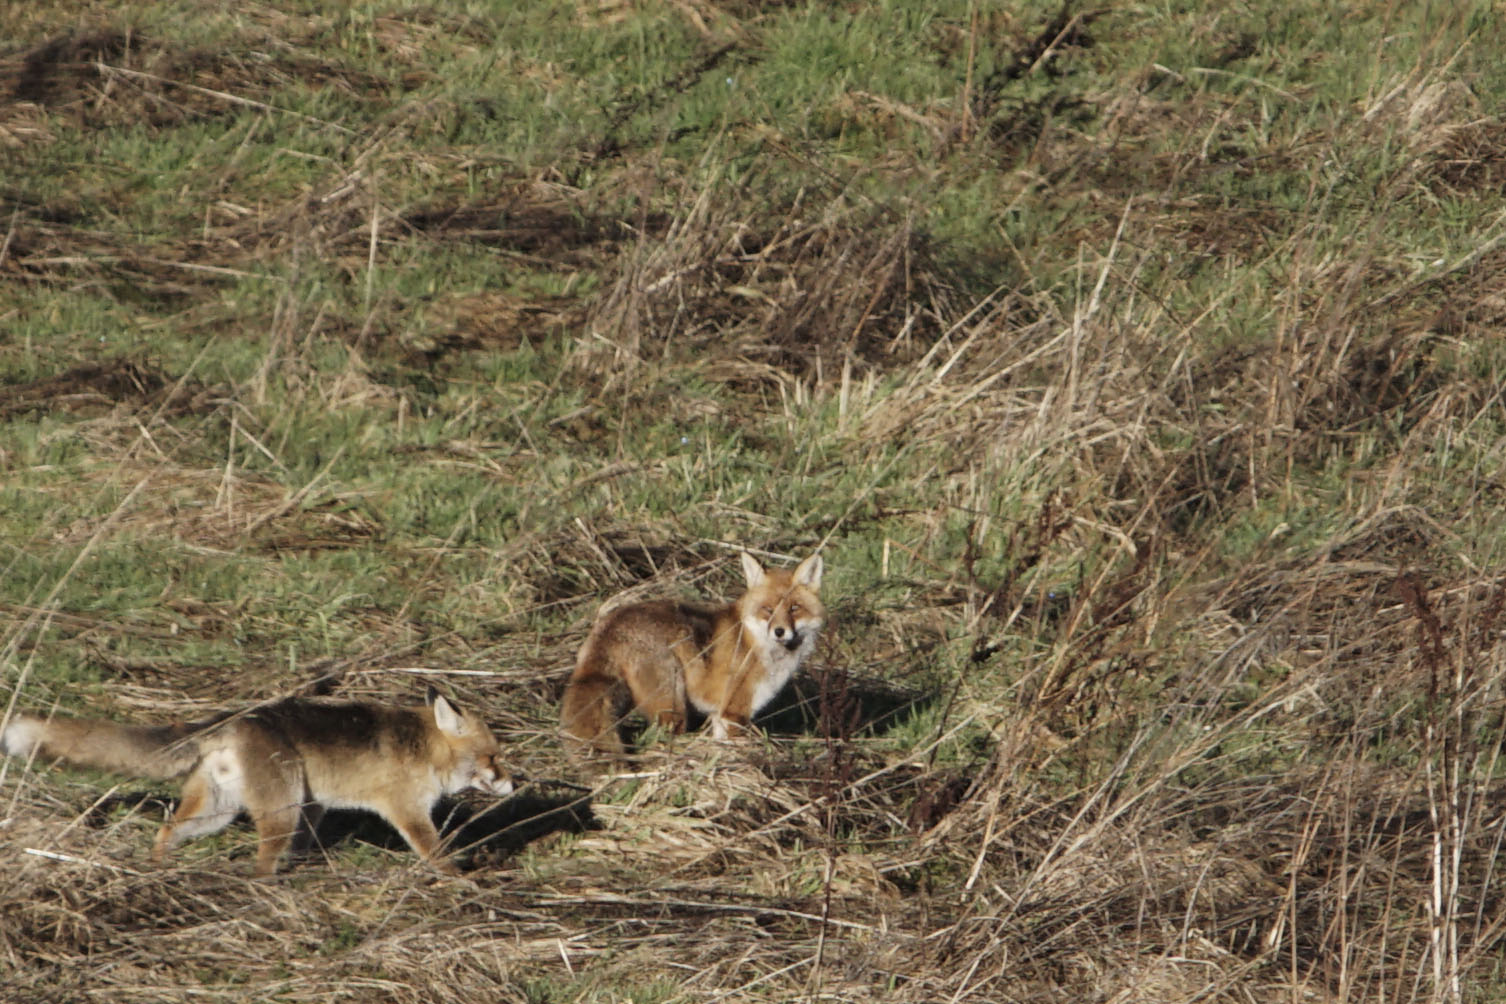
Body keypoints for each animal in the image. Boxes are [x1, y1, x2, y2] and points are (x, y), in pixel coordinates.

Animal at [1, 692, 512, 879]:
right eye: (493, 757)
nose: (514, 782)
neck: (424, 747)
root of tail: (233, 718)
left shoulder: (315, 804)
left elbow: (308, 840)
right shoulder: (407, 810)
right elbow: (435, 850)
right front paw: (460, 879)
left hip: (218, 812)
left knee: (166, 829)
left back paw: (157, 868)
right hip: (278, 811)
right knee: (260, 862)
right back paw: (263, 889)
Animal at [563, 550, 831, 752]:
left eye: (794, 608)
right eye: (768, 609)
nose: (779, 631)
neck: (755, 643)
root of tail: (610, 621)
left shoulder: (719, 716)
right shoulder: (735, 711)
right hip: (673, 705)